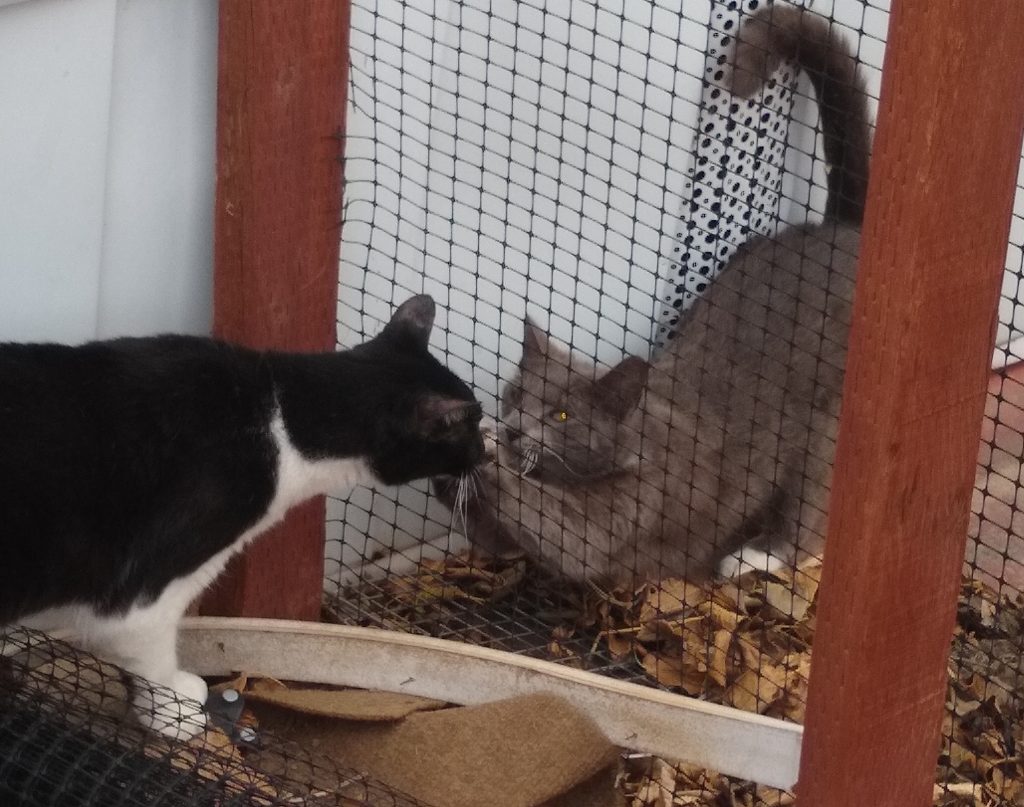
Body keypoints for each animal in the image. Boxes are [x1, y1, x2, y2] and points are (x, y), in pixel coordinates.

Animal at [440, 4, 872, 585]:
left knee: (809, 510)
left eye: (561, 415)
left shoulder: (637, 506)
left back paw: (754, 556)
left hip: (827, 425)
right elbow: (494, 536)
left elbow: (566, 534)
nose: (511, 428)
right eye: (516, 394)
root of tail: (844, 229)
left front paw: (488, 451)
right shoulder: (507, 538)